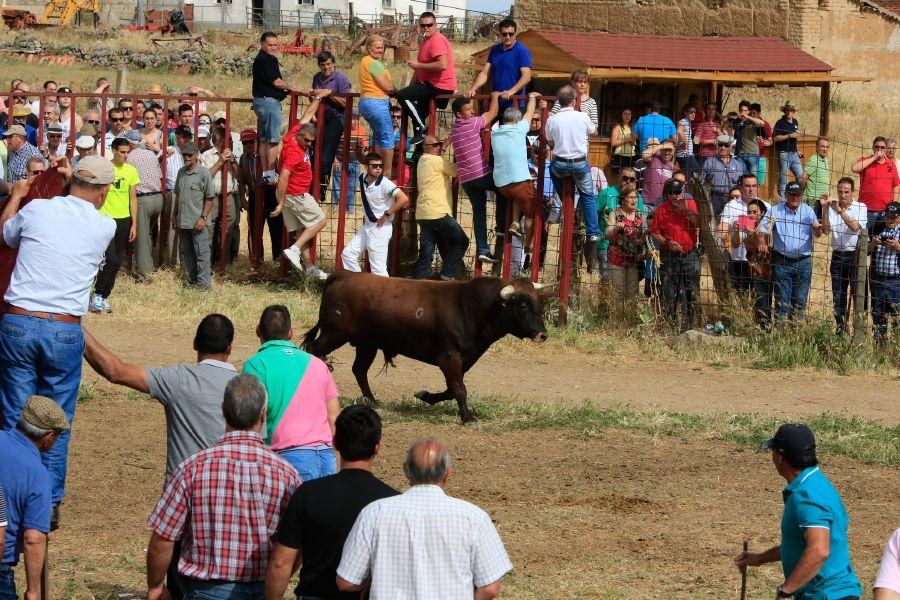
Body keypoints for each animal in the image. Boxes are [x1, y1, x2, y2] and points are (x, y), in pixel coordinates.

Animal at [300, 272, 548, 422]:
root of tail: (345, 274)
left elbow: (451, 389)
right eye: (522, 305)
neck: (470, 306)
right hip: (334, 334)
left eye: (538, 303)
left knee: (359, 370)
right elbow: (459, 388)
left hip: (366, 343)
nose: (543, 334)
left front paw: (425, 395)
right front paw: (467, 418)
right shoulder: (449, 358)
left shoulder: (464, 360)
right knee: (314, 351)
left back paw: (373, 401)